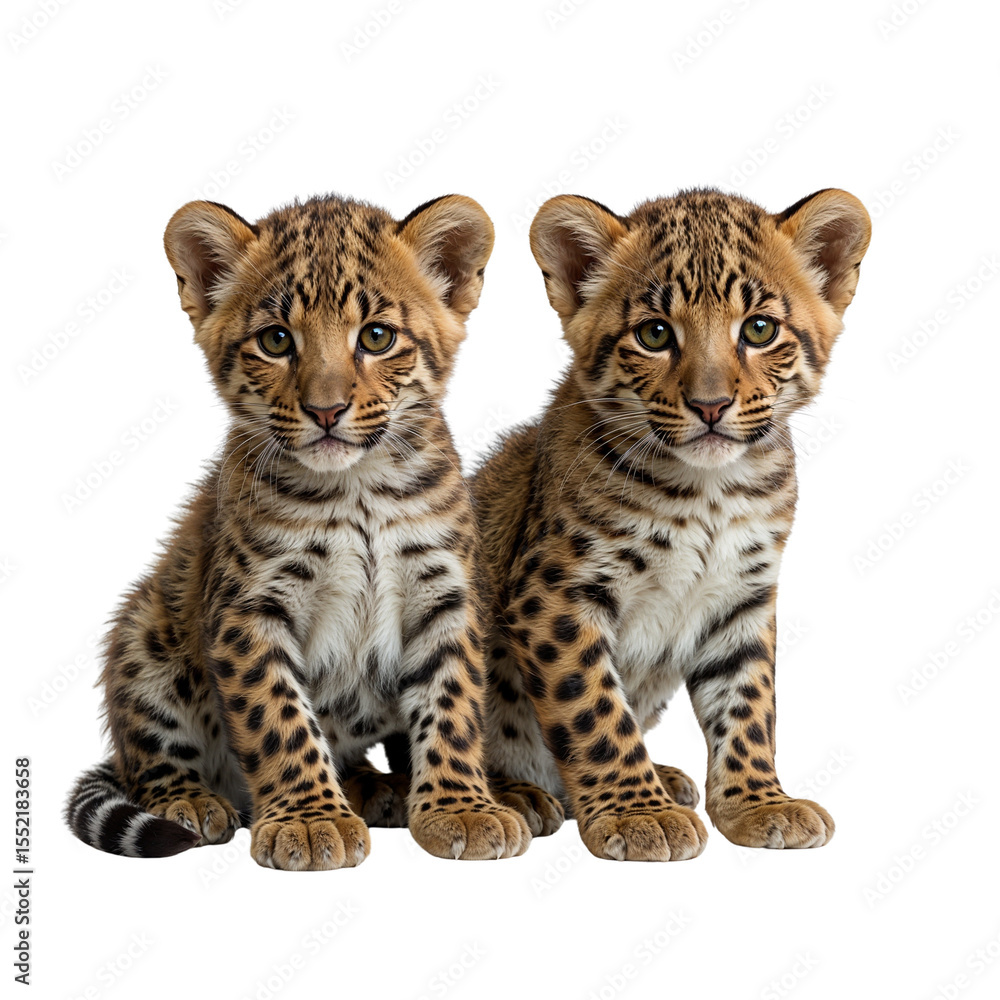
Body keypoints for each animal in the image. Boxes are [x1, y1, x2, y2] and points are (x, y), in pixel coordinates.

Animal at [64, 192, 557, 869]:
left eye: (376, 336)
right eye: (276, 340)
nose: (327, 411)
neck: (359, 491)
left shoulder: (445, 598)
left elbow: (451, 705)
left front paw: (461, 809)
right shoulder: (250, 611)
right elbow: (280, 718)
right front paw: (308, 821)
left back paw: (385, 789)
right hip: (144, 633)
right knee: (149, 757)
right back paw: (193, 802)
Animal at [473, 187, 871, 861]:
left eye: (759, 329)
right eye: (655, 333)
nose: (711, 406)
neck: (709, 494)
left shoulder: (743, 598)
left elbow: (748, 703)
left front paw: (758, 803)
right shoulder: (555, 596)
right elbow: (595, 709)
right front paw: (638, 814)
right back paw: (520, 797)